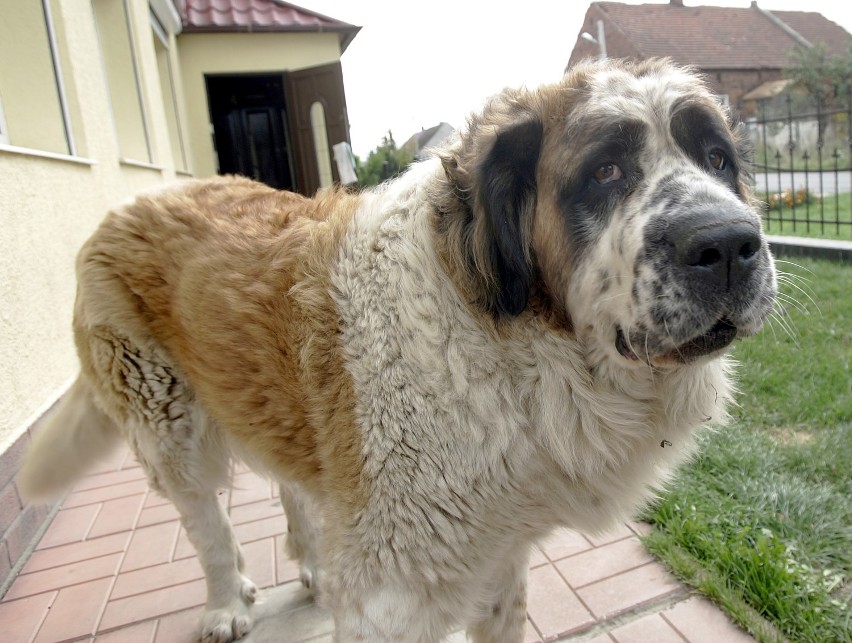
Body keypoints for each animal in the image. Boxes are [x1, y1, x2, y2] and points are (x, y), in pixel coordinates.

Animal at [20, 57, 780, 640]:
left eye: (718, 159)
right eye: (607, 171)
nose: (729, 243)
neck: (512, 344)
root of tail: (134, 202)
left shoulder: (498, 556)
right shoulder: (394, 594)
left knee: (288, 487)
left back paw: (312, 565)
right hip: (166, 420)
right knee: (206, 520)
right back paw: (225, 605)